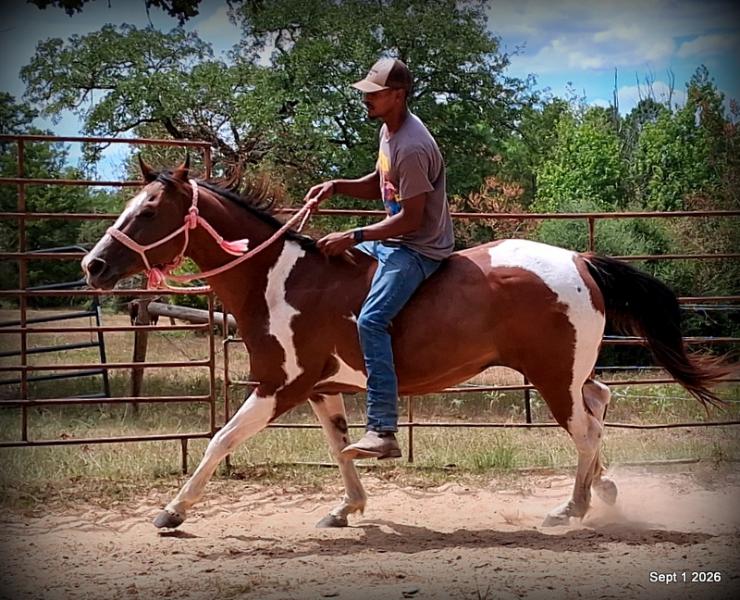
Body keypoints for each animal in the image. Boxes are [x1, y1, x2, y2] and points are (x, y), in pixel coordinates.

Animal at [82, 157, 727, 530]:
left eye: (149, 210)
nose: (93, 265)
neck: (279, 278)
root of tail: (581, 260)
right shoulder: (321, 388)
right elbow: (341, 448)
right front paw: (347, 508)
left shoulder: (278, 386)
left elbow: (219, 441)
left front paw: (171, 511)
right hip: (569, 373)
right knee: (600, 405)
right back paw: (604, 487)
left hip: (551, 378)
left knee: (587, 430)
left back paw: (572, 508)